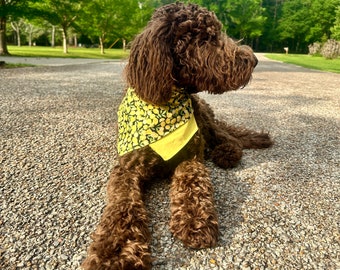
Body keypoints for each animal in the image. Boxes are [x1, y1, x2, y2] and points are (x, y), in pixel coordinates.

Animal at [83, 2, 274, 270]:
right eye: (206, 38)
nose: (254, 60)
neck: (164, 105)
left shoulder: (190, 156)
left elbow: (191, 180)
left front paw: (195, 219)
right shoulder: (126, 168)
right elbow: (122, 204)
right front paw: (116, 252)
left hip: (204, 117)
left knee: (229, 137)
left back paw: (226, 152)